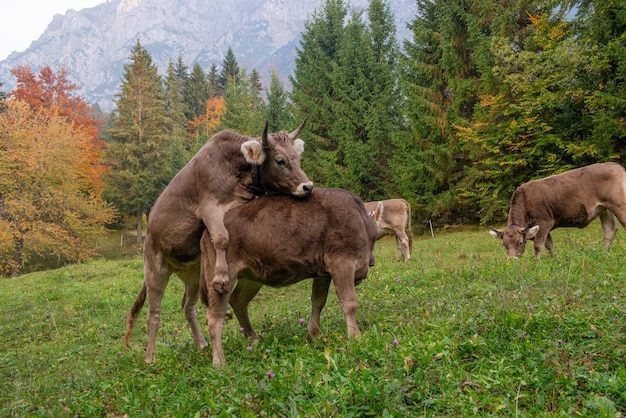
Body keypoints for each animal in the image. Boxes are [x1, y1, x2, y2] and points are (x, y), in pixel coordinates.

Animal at [123, 121, 312, 362]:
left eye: (298, 158)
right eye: (280, 161)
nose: (308, 186)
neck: (236, 169)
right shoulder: (208, 207)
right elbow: (222, 238)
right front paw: (221, 277)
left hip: (192, 273)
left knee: (188, 306)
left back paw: (201, 343)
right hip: (155, 268)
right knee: (153, 313)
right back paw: (149, 356)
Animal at [200, 188, 376, 368]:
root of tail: (207, 232)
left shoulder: (322, 272)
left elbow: (318, 301)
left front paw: (315, 335)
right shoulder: (342, 263)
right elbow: (349, 303)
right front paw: (355, 337)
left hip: (250, 277)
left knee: (238, 301)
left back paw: (254, 340)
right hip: (223, 278)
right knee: (214, 317)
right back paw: (219, 362)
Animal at [488, 162, 624, 258]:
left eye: (520, 242)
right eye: (504, 245)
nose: (511, 260)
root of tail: (614, 165)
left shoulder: (544, 223)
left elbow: (538, 246)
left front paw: (536, 263)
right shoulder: (543, 228)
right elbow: (549, 246)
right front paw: (555, 260)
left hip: (618, 204)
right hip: (604, 208)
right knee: (609, 230)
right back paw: (604, 253)